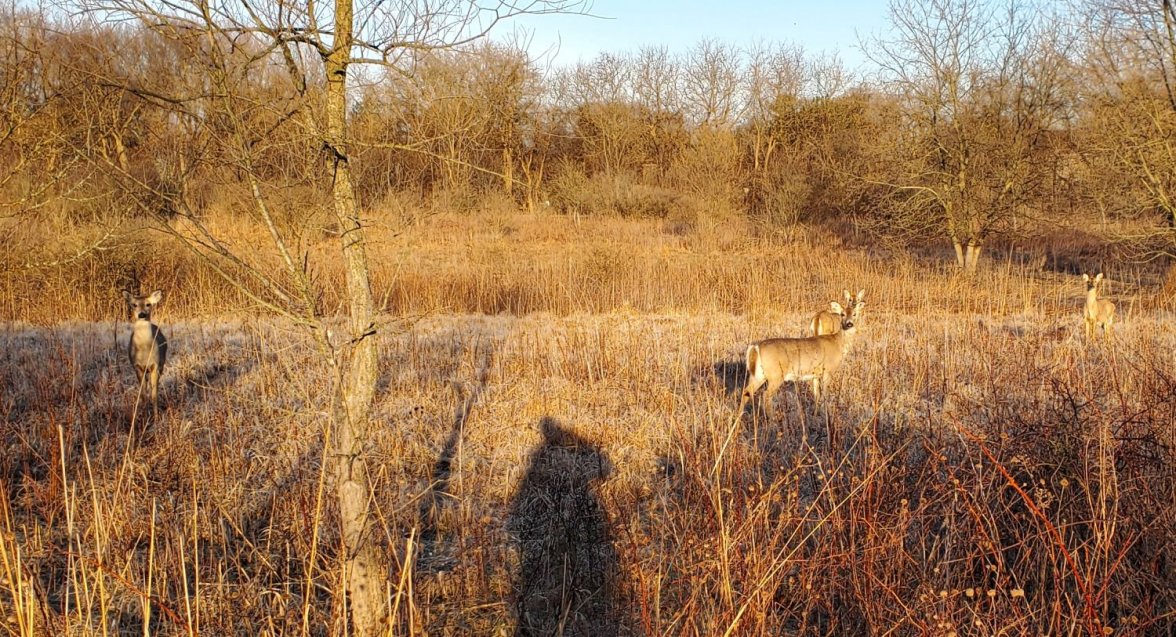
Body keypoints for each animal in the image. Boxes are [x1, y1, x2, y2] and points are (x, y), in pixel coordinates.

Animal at [123, 289, 168, 418]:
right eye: (134, 305)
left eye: (148, 304)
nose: (142, 314)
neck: (144, 349)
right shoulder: (137, 366)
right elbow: (143, 395)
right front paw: (144, 415)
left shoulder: (155, 365)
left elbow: (154, 395)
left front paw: (156, 418)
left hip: (162, 364)